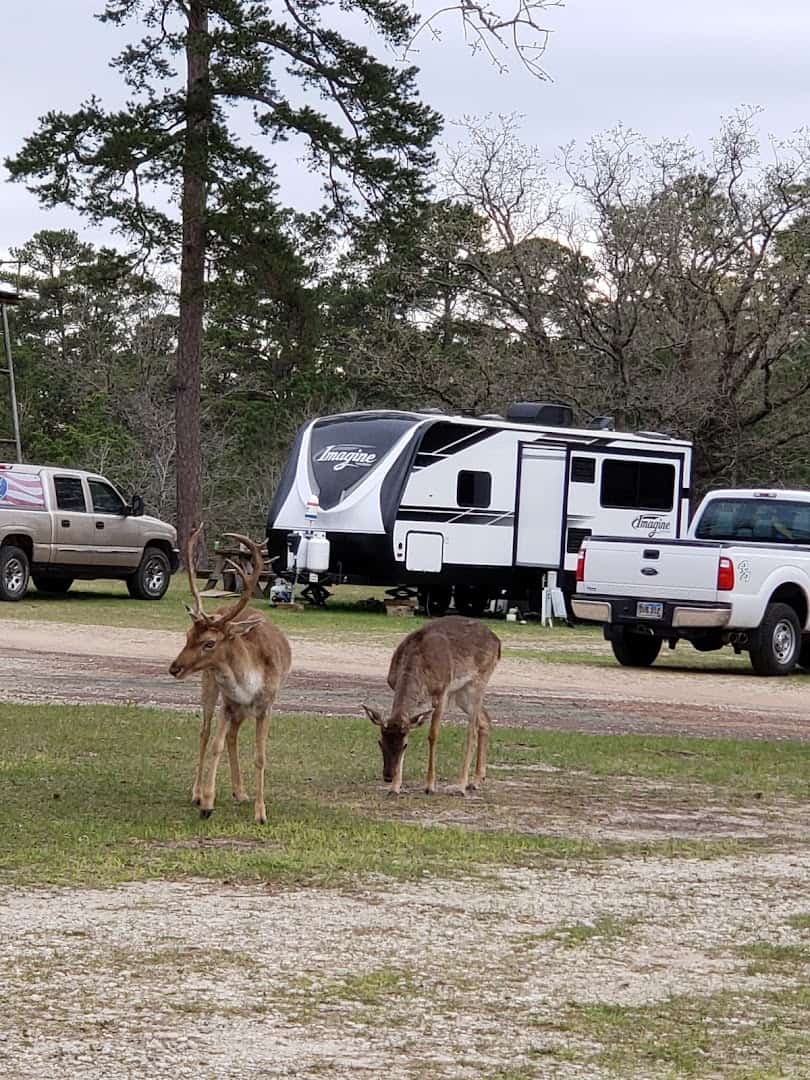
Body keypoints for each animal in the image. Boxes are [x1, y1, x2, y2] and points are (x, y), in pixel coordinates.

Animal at [168, 525, 292, 824]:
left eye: (209, 643)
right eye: (187, 635)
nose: (174, 667)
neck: (249, 684)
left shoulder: (265, 706)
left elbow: (260, 756)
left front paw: (261, 813)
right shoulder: (227, 702)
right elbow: (215, 744)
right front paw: (206, 803)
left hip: (242, 709)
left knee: (233, 735)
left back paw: (240, 791)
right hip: (210, 687)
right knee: (205, 732)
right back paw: (198, 792)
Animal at [363, 615, 501, 796]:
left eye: (404, 746)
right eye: (380, 742)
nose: (387, 776)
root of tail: (498, 642)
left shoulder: (442, 693)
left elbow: (433, 735)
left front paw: (430, 786)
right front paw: (395, 788)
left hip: (479, 681)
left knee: (472, 730)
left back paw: (461, 786)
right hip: (461, 693)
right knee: (485, 720)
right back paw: (476, 781)